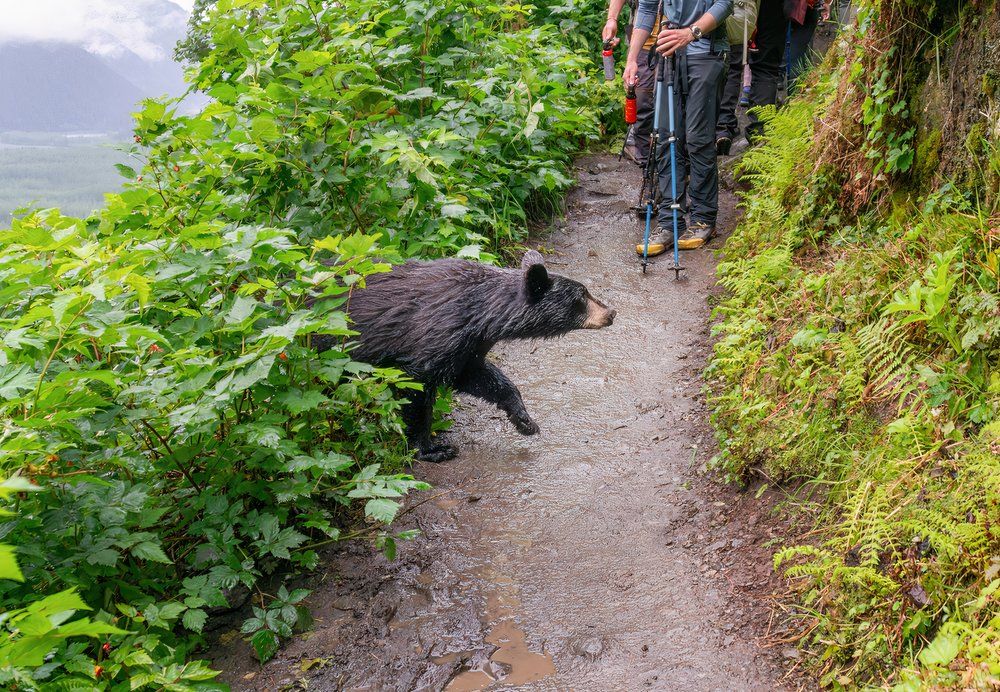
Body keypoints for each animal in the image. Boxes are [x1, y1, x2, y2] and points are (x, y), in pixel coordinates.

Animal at [324, 251, 612, 462]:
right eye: (582, 295)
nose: (611, 313)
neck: (479, 314)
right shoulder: (436, 334)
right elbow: (416, 387)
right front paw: (431, 449)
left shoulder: (467, 346)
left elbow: (480, 377)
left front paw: (524, 421)